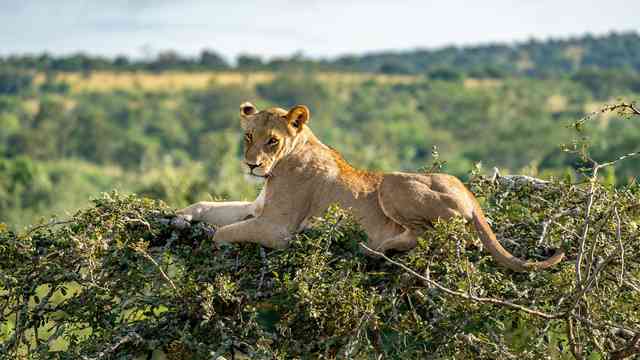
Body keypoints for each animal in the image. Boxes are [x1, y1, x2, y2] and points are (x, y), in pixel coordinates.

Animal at [178, 102, 564, 272]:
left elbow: (222, 233)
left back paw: (375, 248)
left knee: (427, 237)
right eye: (248, 136)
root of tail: (473, 199)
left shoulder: (277, 228)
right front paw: (182, 216)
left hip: (391, 183)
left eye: (272, 141)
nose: (251, 164)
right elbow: (210, 208)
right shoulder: (256, 208)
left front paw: (213, 243)